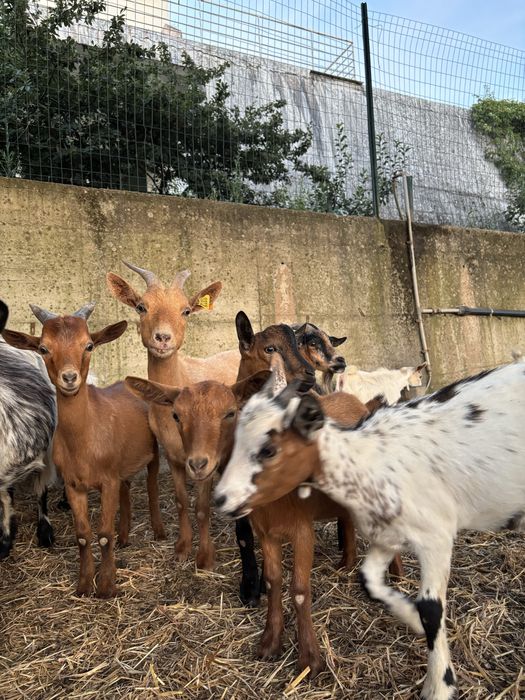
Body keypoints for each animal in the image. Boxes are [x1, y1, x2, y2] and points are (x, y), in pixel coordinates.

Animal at [3, 303, 165, 597]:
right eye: (43, 348)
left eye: (88, 345)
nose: (69, 378)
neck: (85, 442)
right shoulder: (74, 485)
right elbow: (82, 535)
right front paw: (83, 585)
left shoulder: (108, 481)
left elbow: (104, 534)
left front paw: (107, 586)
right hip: (123, 465)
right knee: (127, 489)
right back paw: (125, 537)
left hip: (154, 454)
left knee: (152, 486)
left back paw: (158, 532)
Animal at [107, 262, 240, 564]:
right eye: (141, 307)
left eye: (186, 310)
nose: (163, 338)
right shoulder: (173, 455)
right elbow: (180, 501)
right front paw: (182, 549)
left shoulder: (206, 459)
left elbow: (201, 507)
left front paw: (204, 558)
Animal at [215, 364, 525, 699]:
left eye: (269, 450)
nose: (220, 498)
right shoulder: (384, 534)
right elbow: (364, 583)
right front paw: (411, 619)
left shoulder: (435, 536)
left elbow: (430, 609)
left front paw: (438, 685)